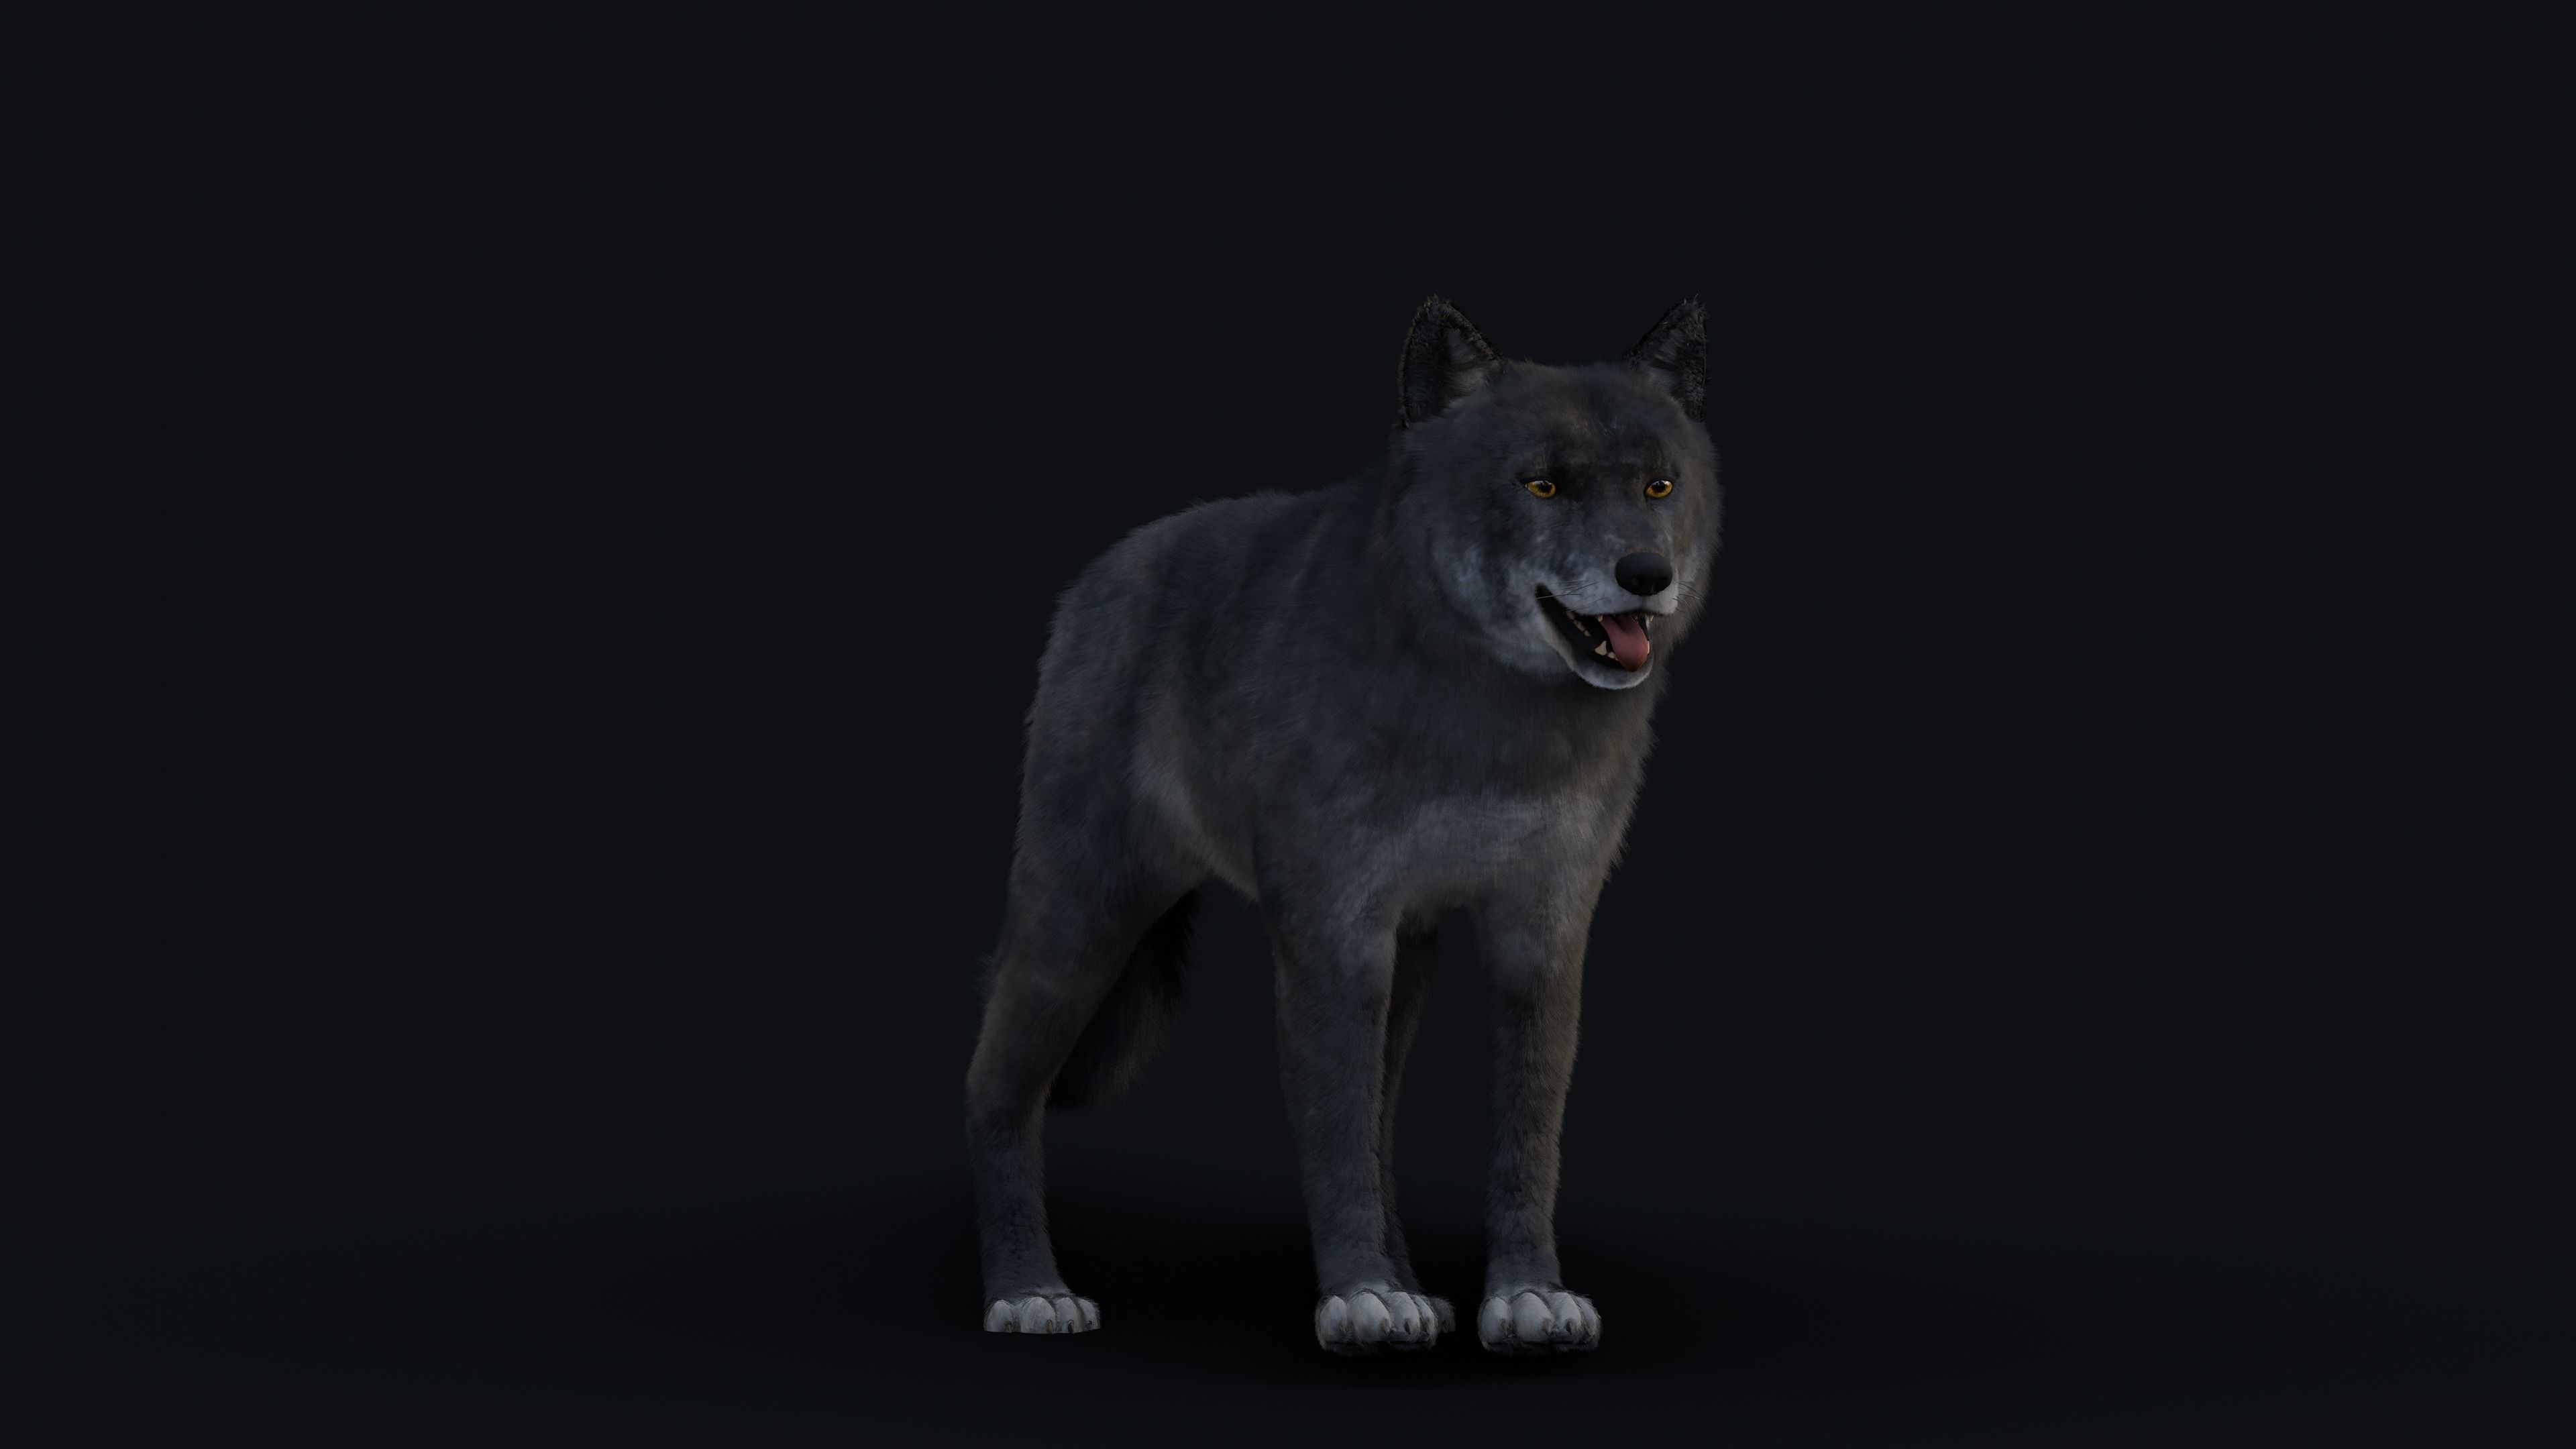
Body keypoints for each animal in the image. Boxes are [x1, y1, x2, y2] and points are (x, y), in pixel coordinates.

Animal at [965, 297, 1719, 1354]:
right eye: (1542, 484)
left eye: (1659, 485)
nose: (1646, 573)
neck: (1490, 724)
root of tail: (1099, 574)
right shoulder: (1332, 935)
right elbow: (1332, 1130)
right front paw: (1359, 1296)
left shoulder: (1542, 931)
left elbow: (1525, 1134)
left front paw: (1525, 1294)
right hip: (1081, 918)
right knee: (994, 1084)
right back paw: (1029, 1291)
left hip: (1406, 956)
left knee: (1383, 1119)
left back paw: (1417, 1288)